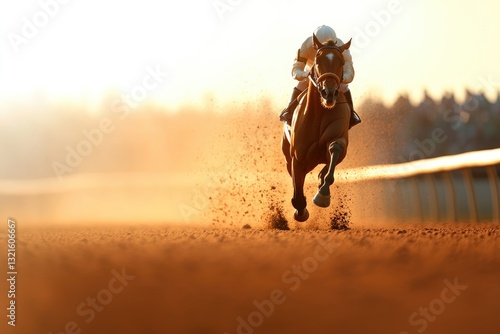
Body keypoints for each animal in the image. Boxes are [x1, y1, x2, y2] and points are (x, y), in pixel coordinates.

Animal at [282, 34, 352, 222]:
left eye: (342, 61)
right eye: (318, 60)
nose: (329, 92)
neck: (320, 112)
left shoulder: (339, 140)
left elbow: (336, 149)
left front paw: (323, 193)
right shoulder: (297, 158)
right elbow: (298, 195)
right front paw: (301, 211)